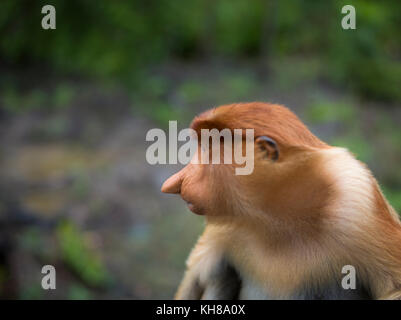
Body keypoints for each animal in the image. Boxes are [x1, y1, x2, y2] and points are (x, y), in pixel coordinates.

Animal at [160, 102, 400, 300]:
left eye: (208, 148)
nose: (175, 182)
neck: (279, 215)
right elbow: (196, 277)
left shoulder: (356, 199)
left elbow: (393, 288)